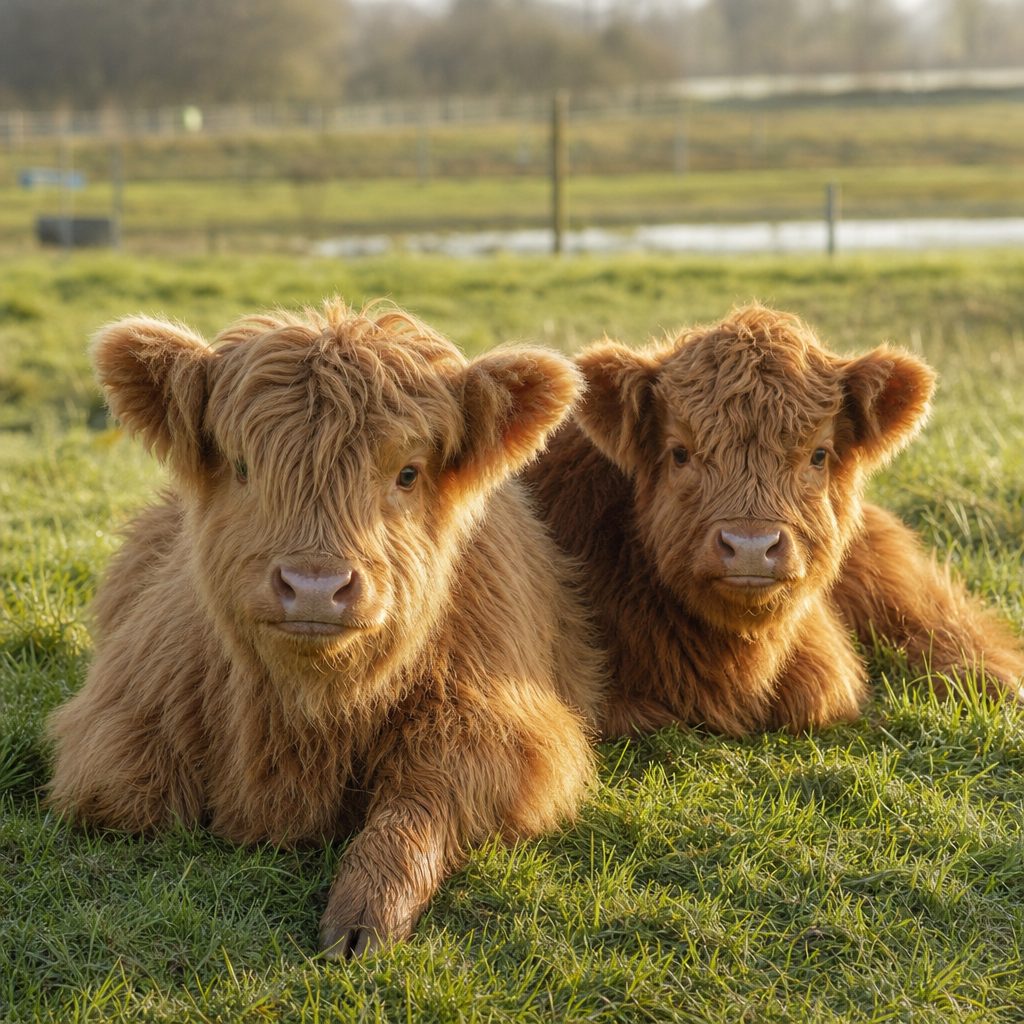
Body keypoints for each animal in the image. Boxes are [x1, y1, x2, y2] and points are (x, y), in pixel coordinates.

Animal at [48, 301, 605, 956]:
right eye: (243, 467)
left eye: (408, 473)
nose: (315, 586)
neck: (311, 713)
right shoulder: (121, 721)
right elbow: (135, 801)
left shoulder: (503, 731)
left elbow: (417, 807)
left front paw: (367, 910)